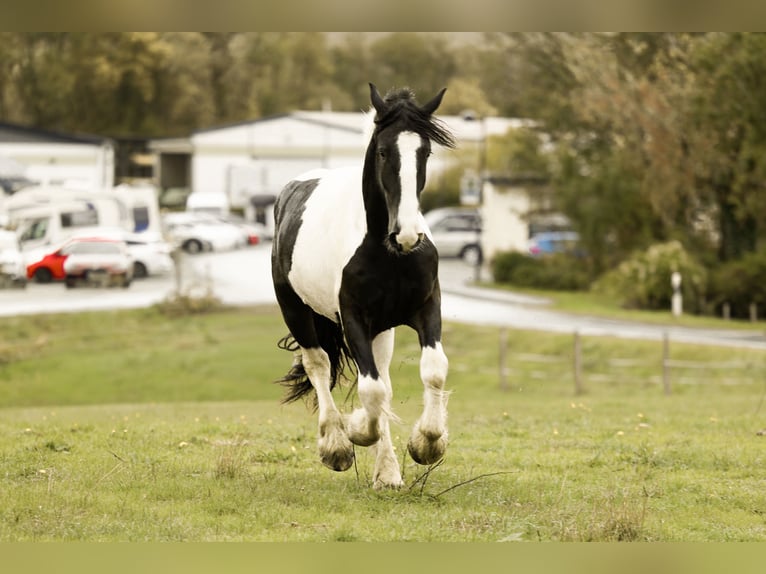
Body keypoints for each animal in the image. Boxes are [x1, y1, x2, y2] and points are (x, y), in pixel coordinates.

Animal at [271, 83, 456, 489]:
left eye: (425, 151)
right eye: (384, 151)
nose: (407, 234)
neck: (388, 254)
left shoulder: (426, 307)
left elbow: (433, 368)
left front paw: (427, 443)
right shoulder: (353, 318)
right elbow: (370, 391)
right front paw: (354, 431)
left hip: (382, 329)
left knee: (382, 376)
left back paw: (387, 473)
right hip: (296, 310)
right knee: (319, 364)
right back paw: (336, 445)